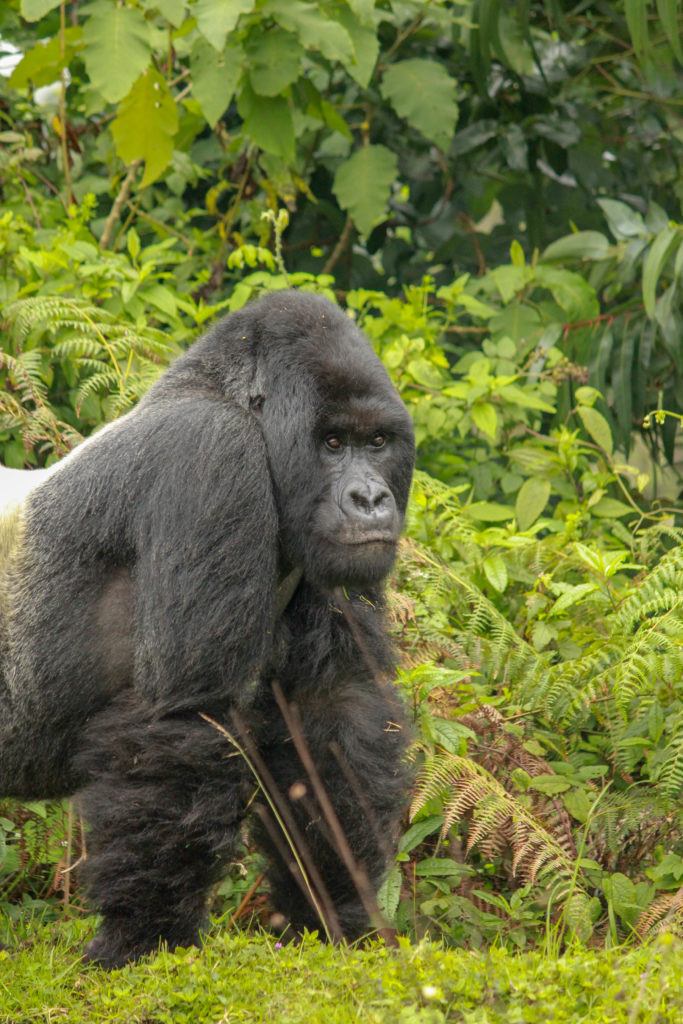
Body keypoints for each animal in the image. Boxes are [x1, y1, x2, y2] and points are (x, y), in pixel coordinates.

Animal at [0, 288, 417, 966]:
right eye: (332, 443)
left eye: (377, 441)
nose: (371, 499)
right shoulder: (212, 457)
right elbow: (181, 714)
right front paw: (146, 938)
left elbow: (328, 714)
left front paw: (334, 911)